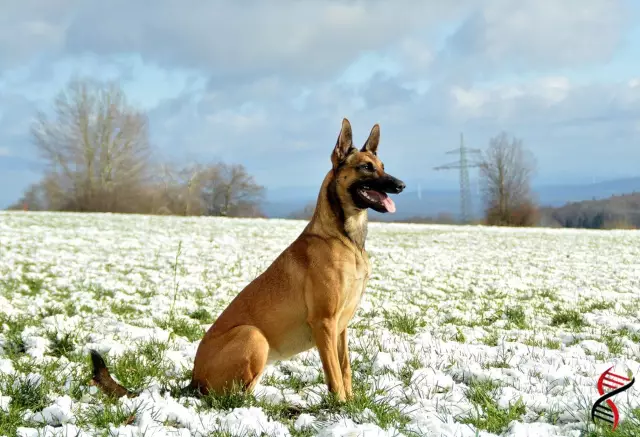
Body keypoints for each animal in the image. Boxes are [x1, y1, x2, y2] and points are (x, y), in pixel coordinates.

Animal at [89, 117, 404, 400]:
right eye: (365, 167)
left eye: (383, 167)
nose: (401, 185)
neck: (345, 238)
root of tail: (193, 380)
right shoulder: (324, 323)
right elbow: (334, 375)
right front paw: (340, 406)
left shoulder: (341, 328)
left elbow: (346, 369)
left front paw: (351, 404)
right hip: (253, 335)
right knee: (229, 398)